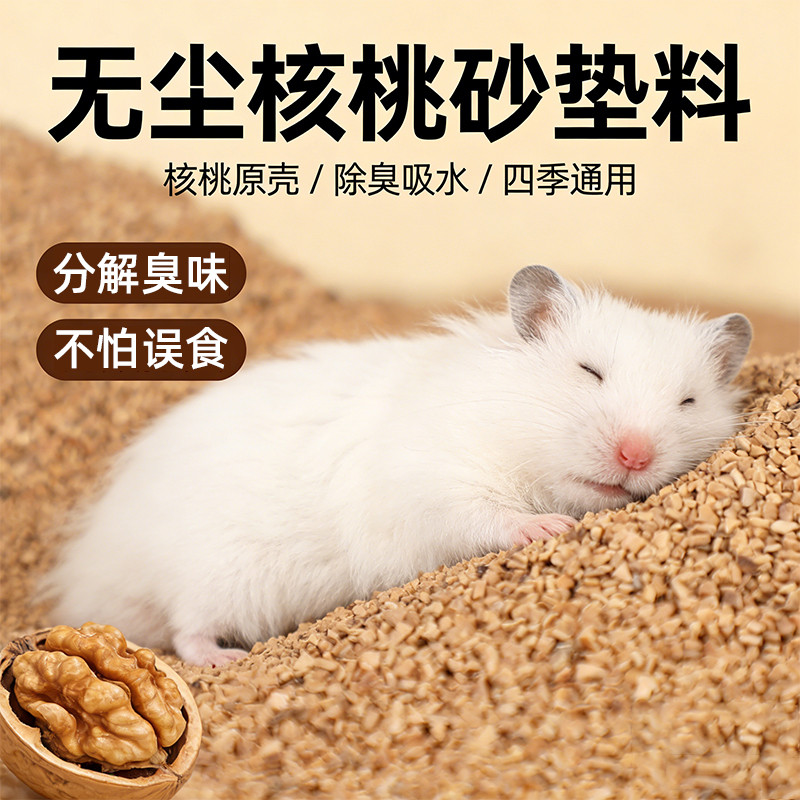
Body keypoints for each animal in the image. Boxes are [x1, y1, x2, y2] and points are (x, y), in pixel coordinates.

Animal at [46, 266, 752, 666]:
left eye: (687, 401)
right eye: (589, 371)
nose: (635, 455)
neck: (514, 437)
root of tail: (97, 558)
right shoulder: (431, 487)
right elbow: (485, 516)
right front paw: (548, 528)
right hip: (213, 573)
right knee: (185, 630)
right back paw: (223, 660)